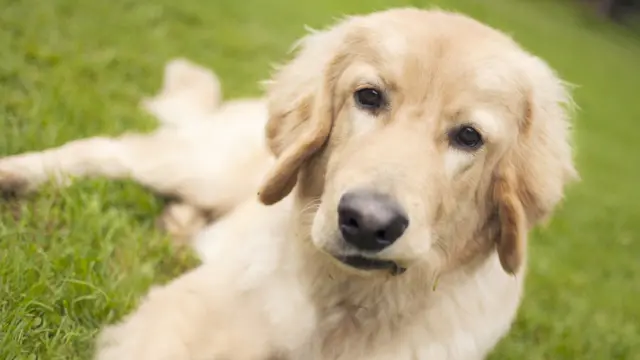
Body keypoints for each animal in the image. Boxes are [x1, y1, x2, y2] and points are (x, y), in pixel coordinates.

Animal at [0, 7, 576, 360]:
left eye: (469, 136)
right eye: (369, 97)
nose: (367, 223)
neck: (350, 303)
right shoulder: (186, 314)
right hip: (199, 166)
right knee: (101, 152)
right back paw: (15, 171)